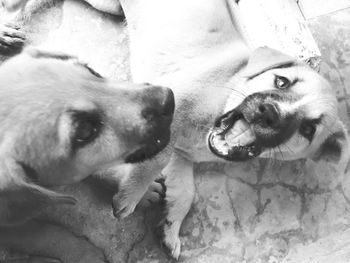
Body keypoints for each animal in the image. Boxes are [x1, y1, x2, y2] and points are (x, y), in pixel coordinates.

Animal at [0, 48, 174, 262]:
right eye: (84, 130)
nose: (169, 98)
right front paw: (84, 254)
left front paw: (138, 191)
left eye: (91, 70)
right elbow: (44, 235)